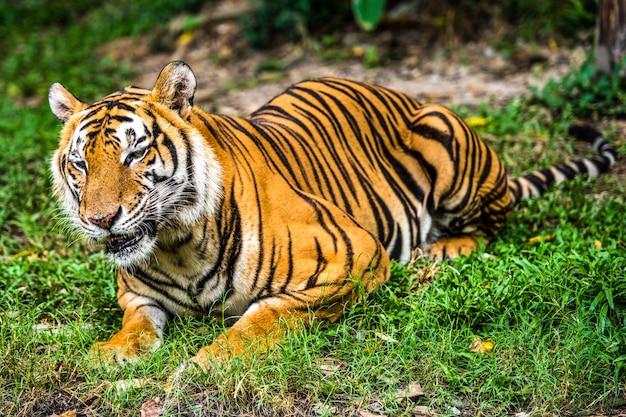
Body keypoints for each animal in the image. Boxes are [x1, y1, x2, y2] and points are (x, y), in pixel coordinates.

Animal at [48, 61, 616, 368]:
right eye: (80, 164)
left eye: (135, 153)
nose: (100, 219)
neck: (176, 245)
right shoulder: (137, 295)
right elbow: (136, 325)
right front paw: (110, 352)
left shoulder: (353, 257)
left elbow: (266, 316)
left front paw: (210, 359)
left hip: (448, 147)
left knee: (492, 222)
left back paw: (437, 254)